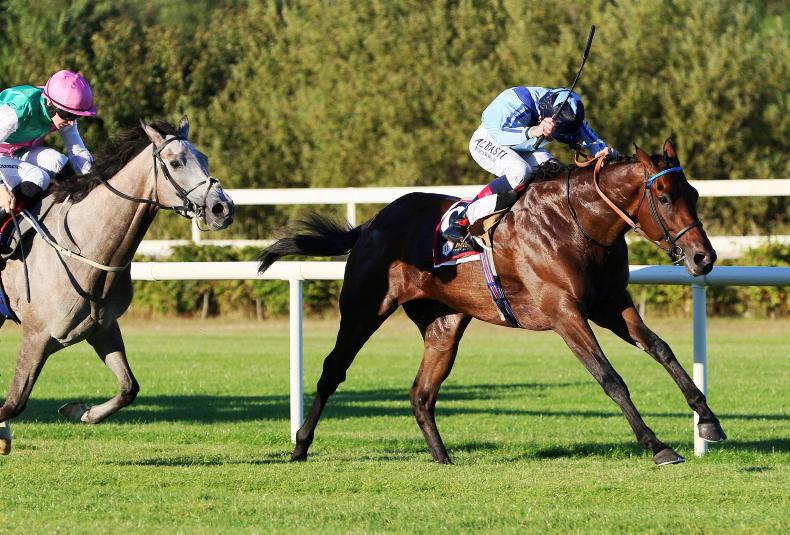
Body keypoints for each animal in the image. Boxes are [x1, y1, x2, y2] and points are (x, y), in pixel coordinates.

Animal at [0, 118, 235, 454]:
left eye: (203, 158)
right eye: (176, 162)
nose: (223, 208)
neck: (83, 247)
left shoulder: (102, 328)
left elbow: (129, 387)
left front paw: (80, 411)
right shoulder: (37, 335)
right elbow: (15, 401)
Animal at [259, 139, 727, 466]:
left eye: (693, 193)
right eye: (664, 197)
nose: (704, 257)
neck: (578, 222)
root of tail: (371, 224)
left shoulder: (610, 304)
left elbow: (662, 350)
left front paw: (709, 420)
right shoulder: (564, 311)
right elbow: (610, 378)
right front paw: (657, 445)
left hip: (444, 325)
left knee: (421, 393)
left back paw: (442, 457)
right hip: (363, 308)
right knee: (333, 371)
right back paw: (300, 446)